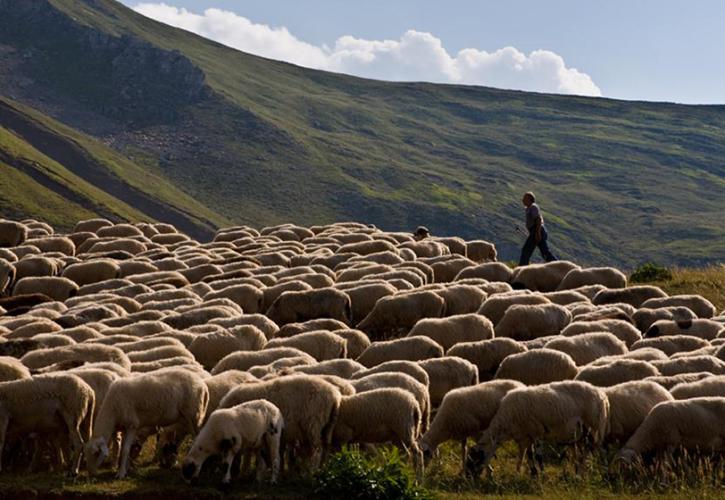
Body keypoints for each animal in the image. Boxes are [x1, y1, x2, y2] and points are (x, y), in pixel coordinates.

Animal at [460, 382, 608, 476]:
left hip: (593, 426)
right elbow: (527, 456)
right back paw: (581, 471)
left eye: (475, 458)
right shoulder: (525, 436)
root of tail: (602, 396)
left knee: (594, 450)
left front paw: (541, 473)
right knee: (586, 451)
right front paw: (528, 473)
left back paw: (594, 471)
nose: (468, 477)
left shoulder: (537, 432)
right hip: (582, 431)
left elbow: (538, 456)